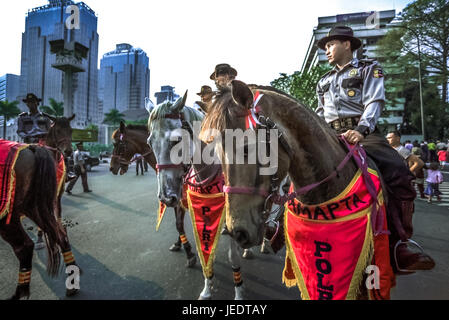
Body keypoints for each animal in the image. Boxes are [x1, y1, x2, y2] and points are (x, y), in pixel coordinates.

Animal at [109, 120, 195, 268]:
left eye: (118, 144)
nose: (111, 167)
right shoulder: (173, 197)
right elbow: (178, 222)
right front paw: (179, 243)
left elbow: (179, 223)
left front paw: (189, 252)